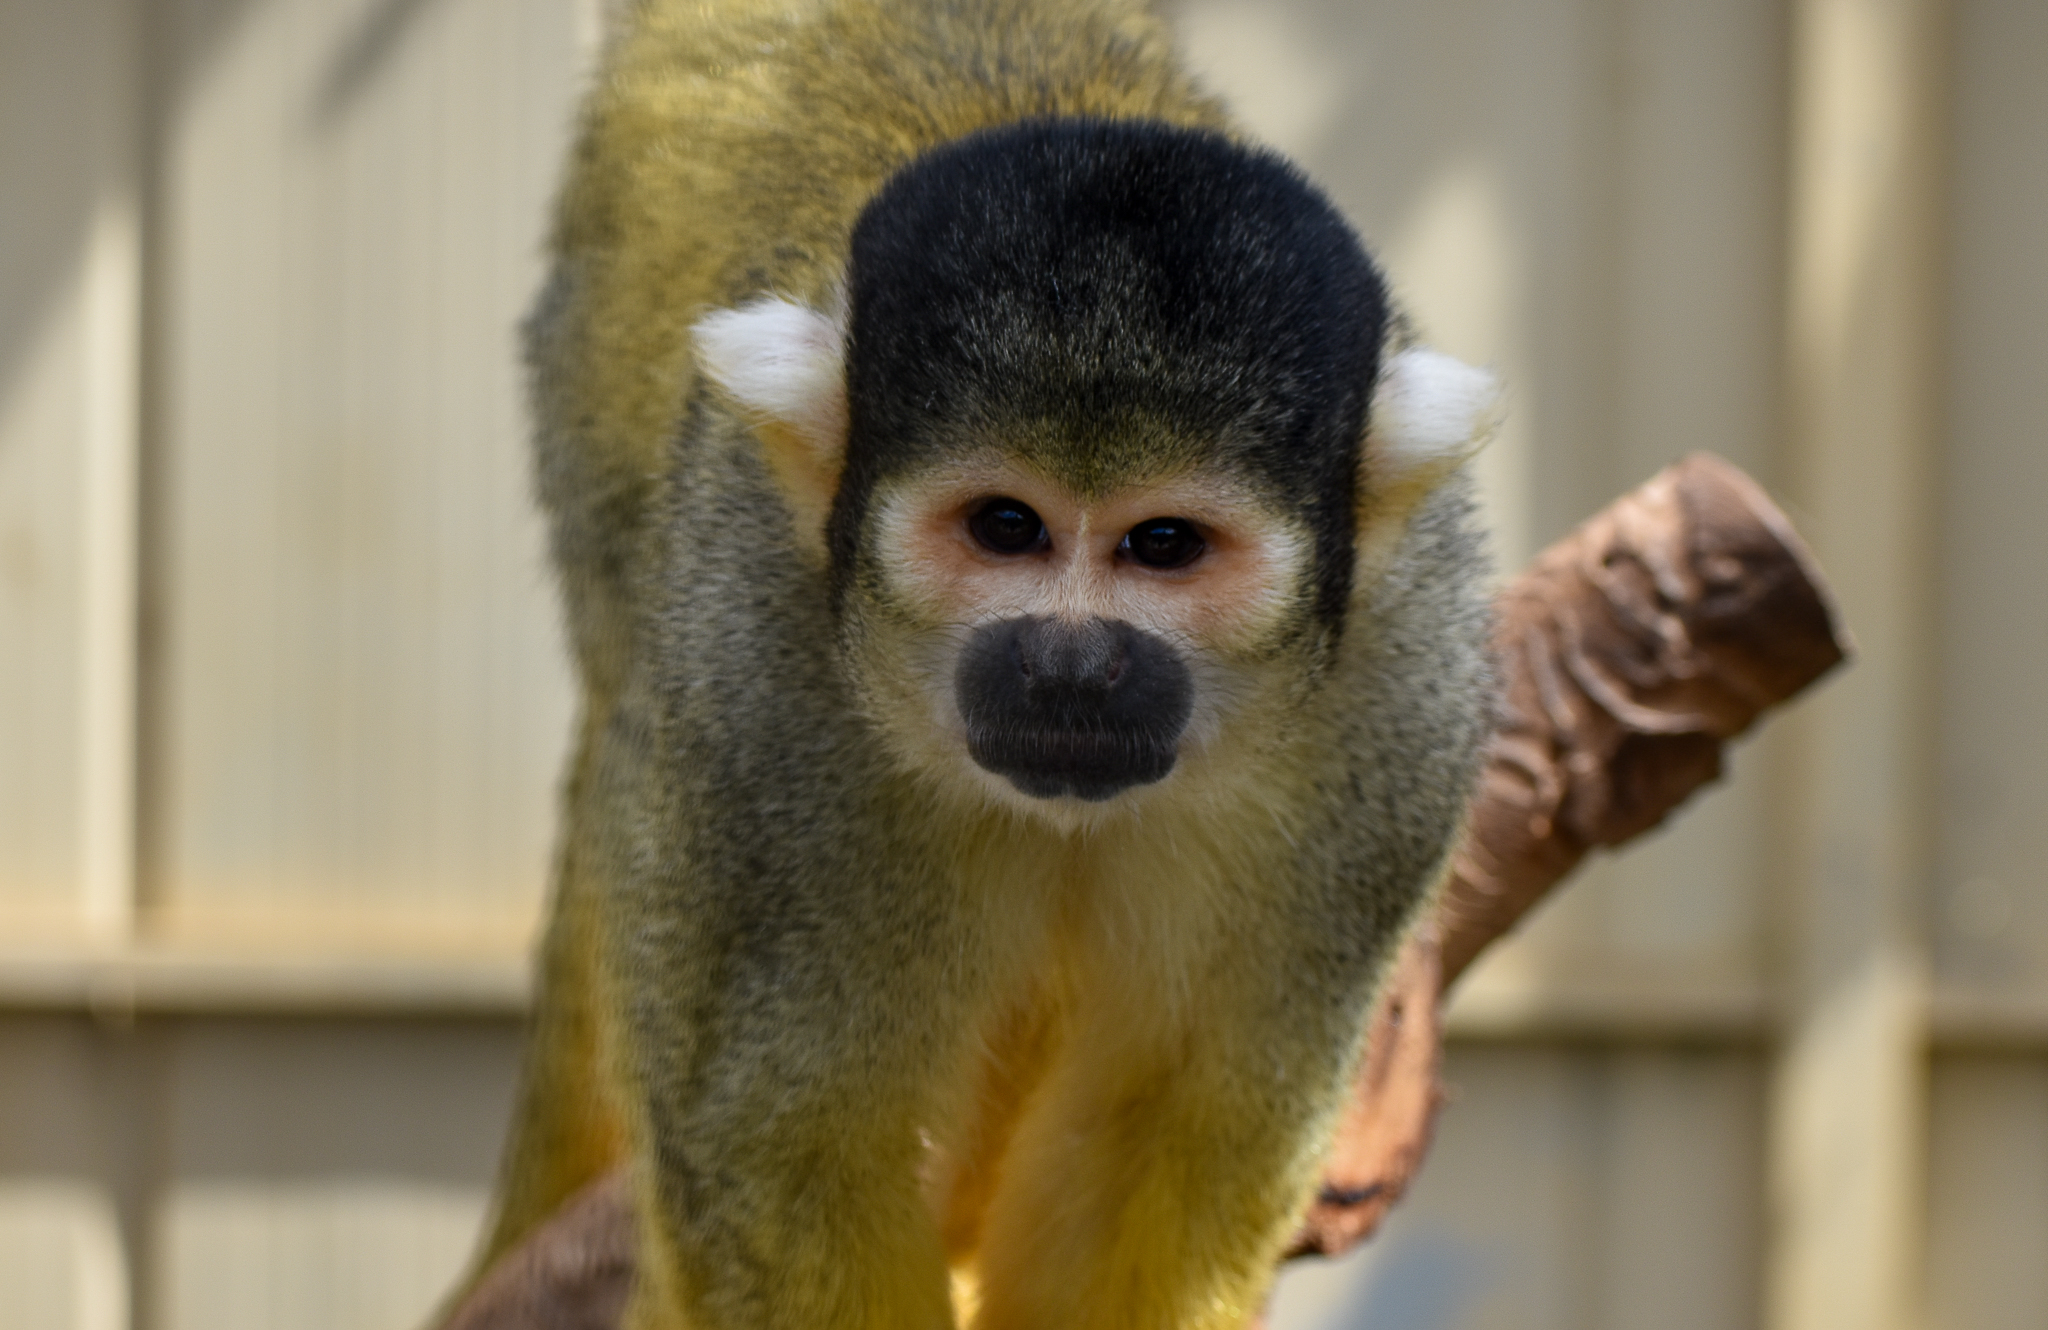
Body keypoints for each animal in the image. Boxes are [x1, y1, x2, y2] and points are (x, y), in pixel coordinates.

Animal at [461, 2, 1501, 1328]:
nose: (1070, 666)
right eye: (1005, 527)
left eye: (1164, 544)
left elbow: (1157, 1129)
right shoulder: (751, 678)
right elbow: (783, 1143)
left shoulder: (1403, 703)